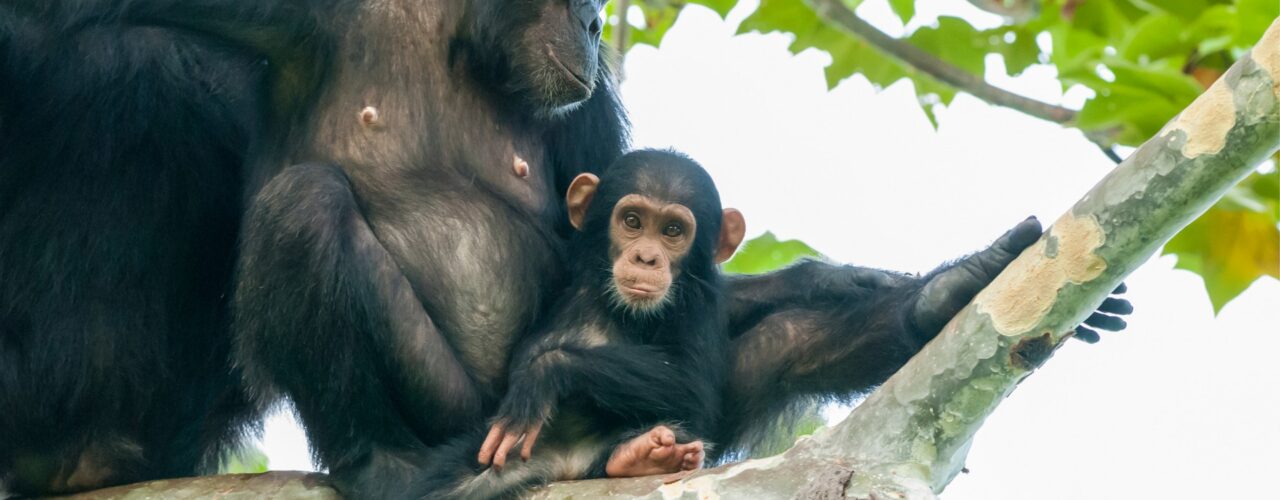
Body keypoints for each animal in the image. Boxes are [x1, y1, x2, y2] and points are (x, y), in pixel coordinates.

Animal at [0, 1, 1131, 498]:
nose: (592, 22)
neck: (456, 36)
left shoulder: (591, 124)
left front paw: (934, 285)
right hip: (456, 409)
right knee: (303, 204)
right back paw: (385, 466)